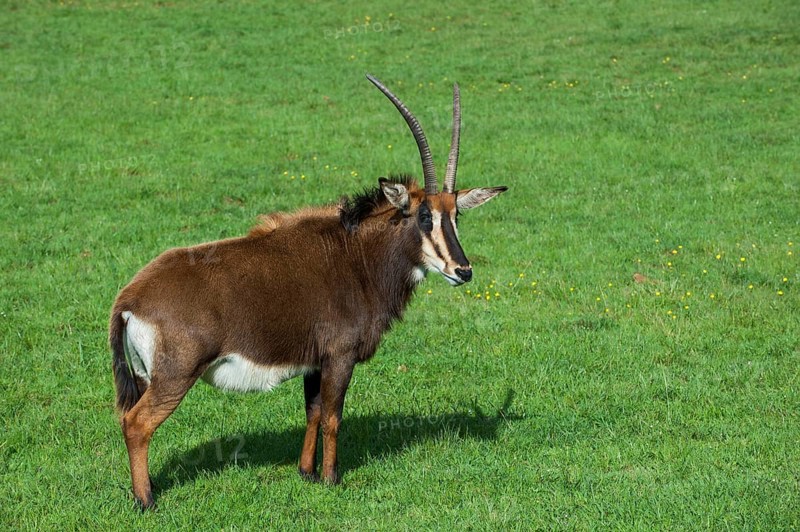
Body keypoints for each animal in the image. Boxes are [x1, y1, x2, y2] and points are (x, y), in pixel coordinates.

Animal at [110, 74, 508, 509]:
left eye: (456, 216)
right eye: (423, 216)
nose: (462, 271)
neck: (355, 256)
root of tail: (129, 299)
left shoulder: (315, 364)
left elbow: (313, 412)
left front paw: (306, 473)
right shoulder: (340, 357)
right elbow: (333, 416)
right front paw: (332, 478)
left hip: (145, 376)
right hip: (174, 375)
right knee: (137, 423)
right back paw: (146, 501)